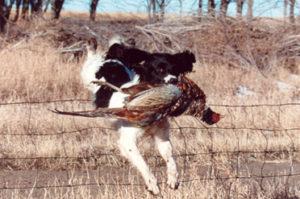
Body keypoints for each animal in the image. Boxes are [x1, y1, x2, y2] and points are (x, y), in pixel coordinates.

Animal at [80, 36, 197, 194]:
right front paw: (152, 185)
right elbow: (142, 163)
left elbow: (170, 157)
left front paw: (173, 179)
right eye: (159, 69)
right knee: (91, 57)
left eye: (175, 69)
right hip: (88, 73)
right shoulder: (127, 141)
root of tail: (111, 58)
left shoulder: (162, 136)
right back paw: (92, 45)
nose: (174, 80)